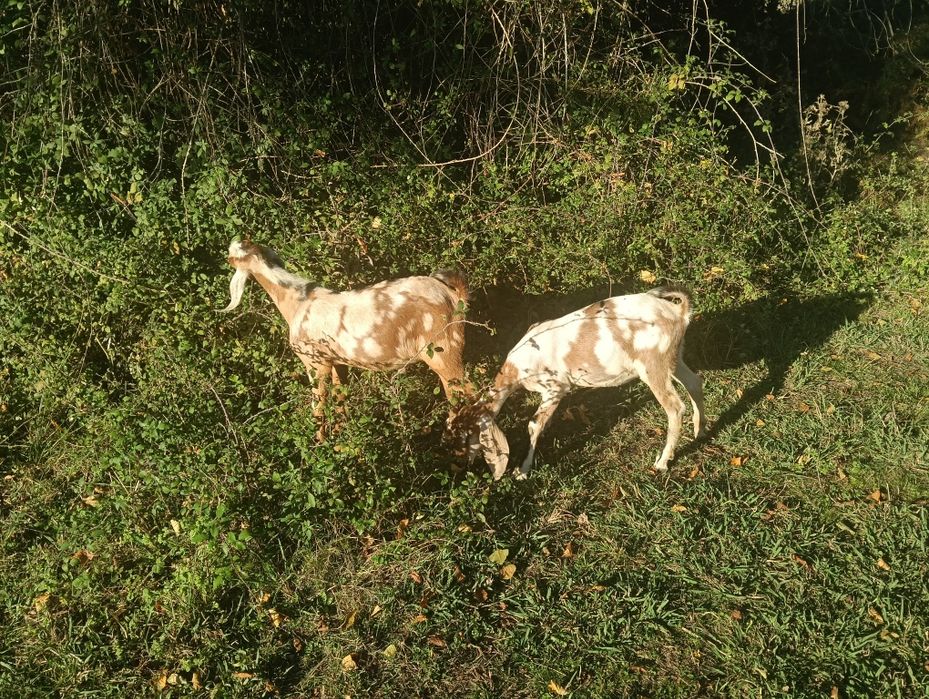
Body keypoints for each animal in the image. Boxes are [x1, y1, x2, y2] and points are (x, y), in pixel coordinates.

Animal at [221, 240, 471, 438]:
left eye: (235, 256)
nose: (226, 258)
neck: (297, 303)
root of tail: (453, 294)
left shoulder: (315, 362)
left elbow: (319, 404)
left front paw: (319, 444)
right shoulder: (337, 362)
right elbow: (340, 398)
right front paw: (342, 442)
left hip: (443, 348)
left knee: (466, 390)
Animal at [451, 287, 707, 479]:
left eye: (466, 435)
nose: (463, 464)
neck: (517, 368)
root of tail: (678, 312)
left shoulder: (555, 388)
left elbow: (533, 425)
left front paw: (522, 471)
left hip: (653, 365)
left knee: (675, 407)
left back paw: (662, 462)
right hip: (673, 357)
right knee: (695, 382)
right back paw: (700, 431)